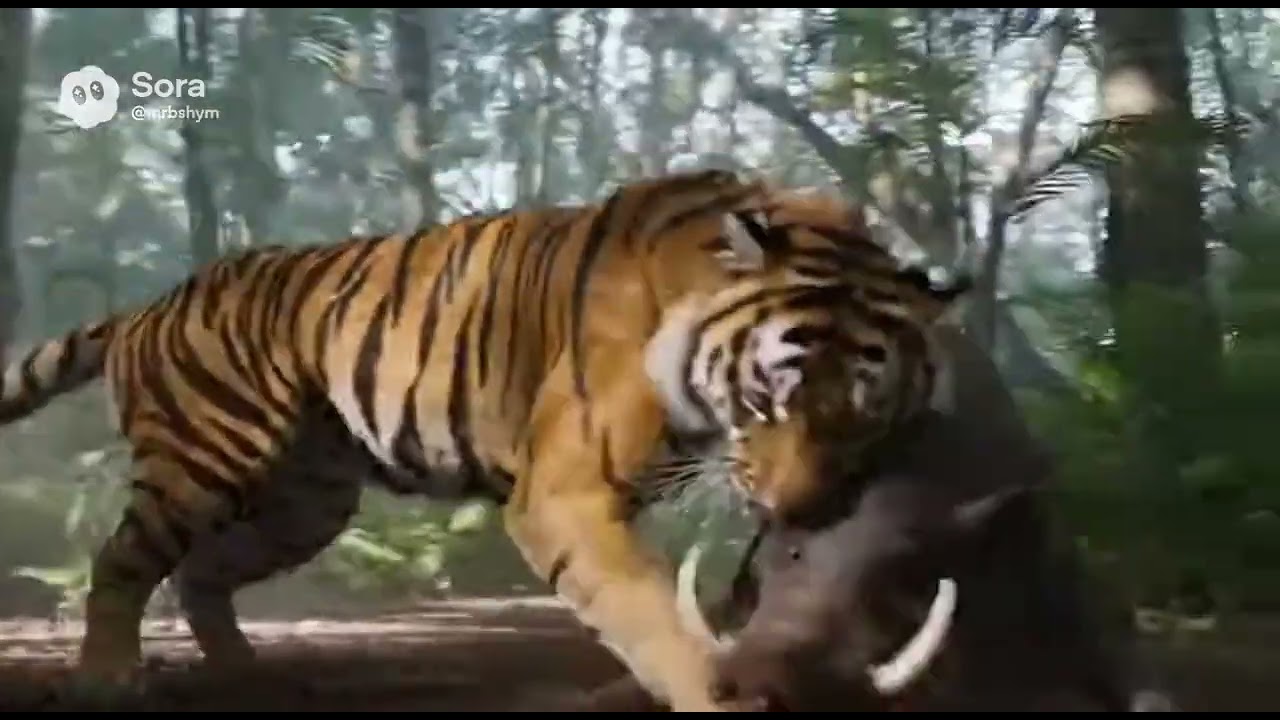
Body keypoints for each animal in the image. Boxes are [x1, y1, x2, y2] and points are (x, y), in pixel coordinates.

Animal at [0, 169, 969, 711]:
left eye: (864, 408)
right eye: (771, 394)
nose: (797, 506)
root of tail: (150, 303)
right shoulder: (565, 491)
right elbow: (655, 614)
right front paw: (717, 695)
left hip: (305, 503)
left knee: (202, 575)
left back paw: (247, 676)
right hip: (202, 461)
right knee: (120, 562)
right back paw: (107, 679)